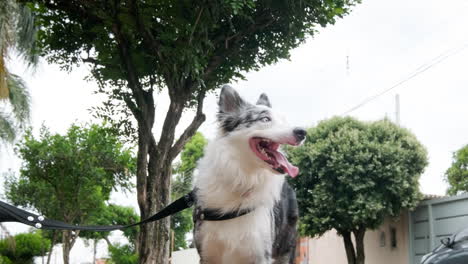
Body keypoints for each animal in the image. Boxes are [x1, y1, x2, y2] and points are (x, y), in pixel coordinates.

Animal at [192, 85, 306, 262]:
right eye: (265, 119)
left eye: (284, 120)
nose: (302, 132)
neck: (242, 177)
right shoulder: (207, 254)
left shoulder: (260, 253)